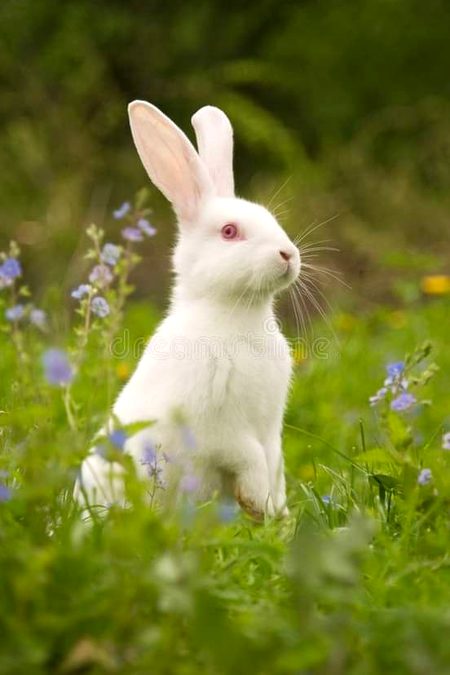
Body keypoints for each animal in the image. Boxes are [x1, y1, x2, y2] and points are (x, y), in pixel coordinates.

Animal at [74, 101, 301, 519]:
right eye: (229, 232)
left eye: (272, 219)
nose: (288, 254)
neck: (236, 315)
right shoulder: (218, 428)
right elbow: (249, 458)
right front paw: (256, 504)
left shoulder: (269, 429)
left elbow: (274, 463)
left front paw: (276, 515)